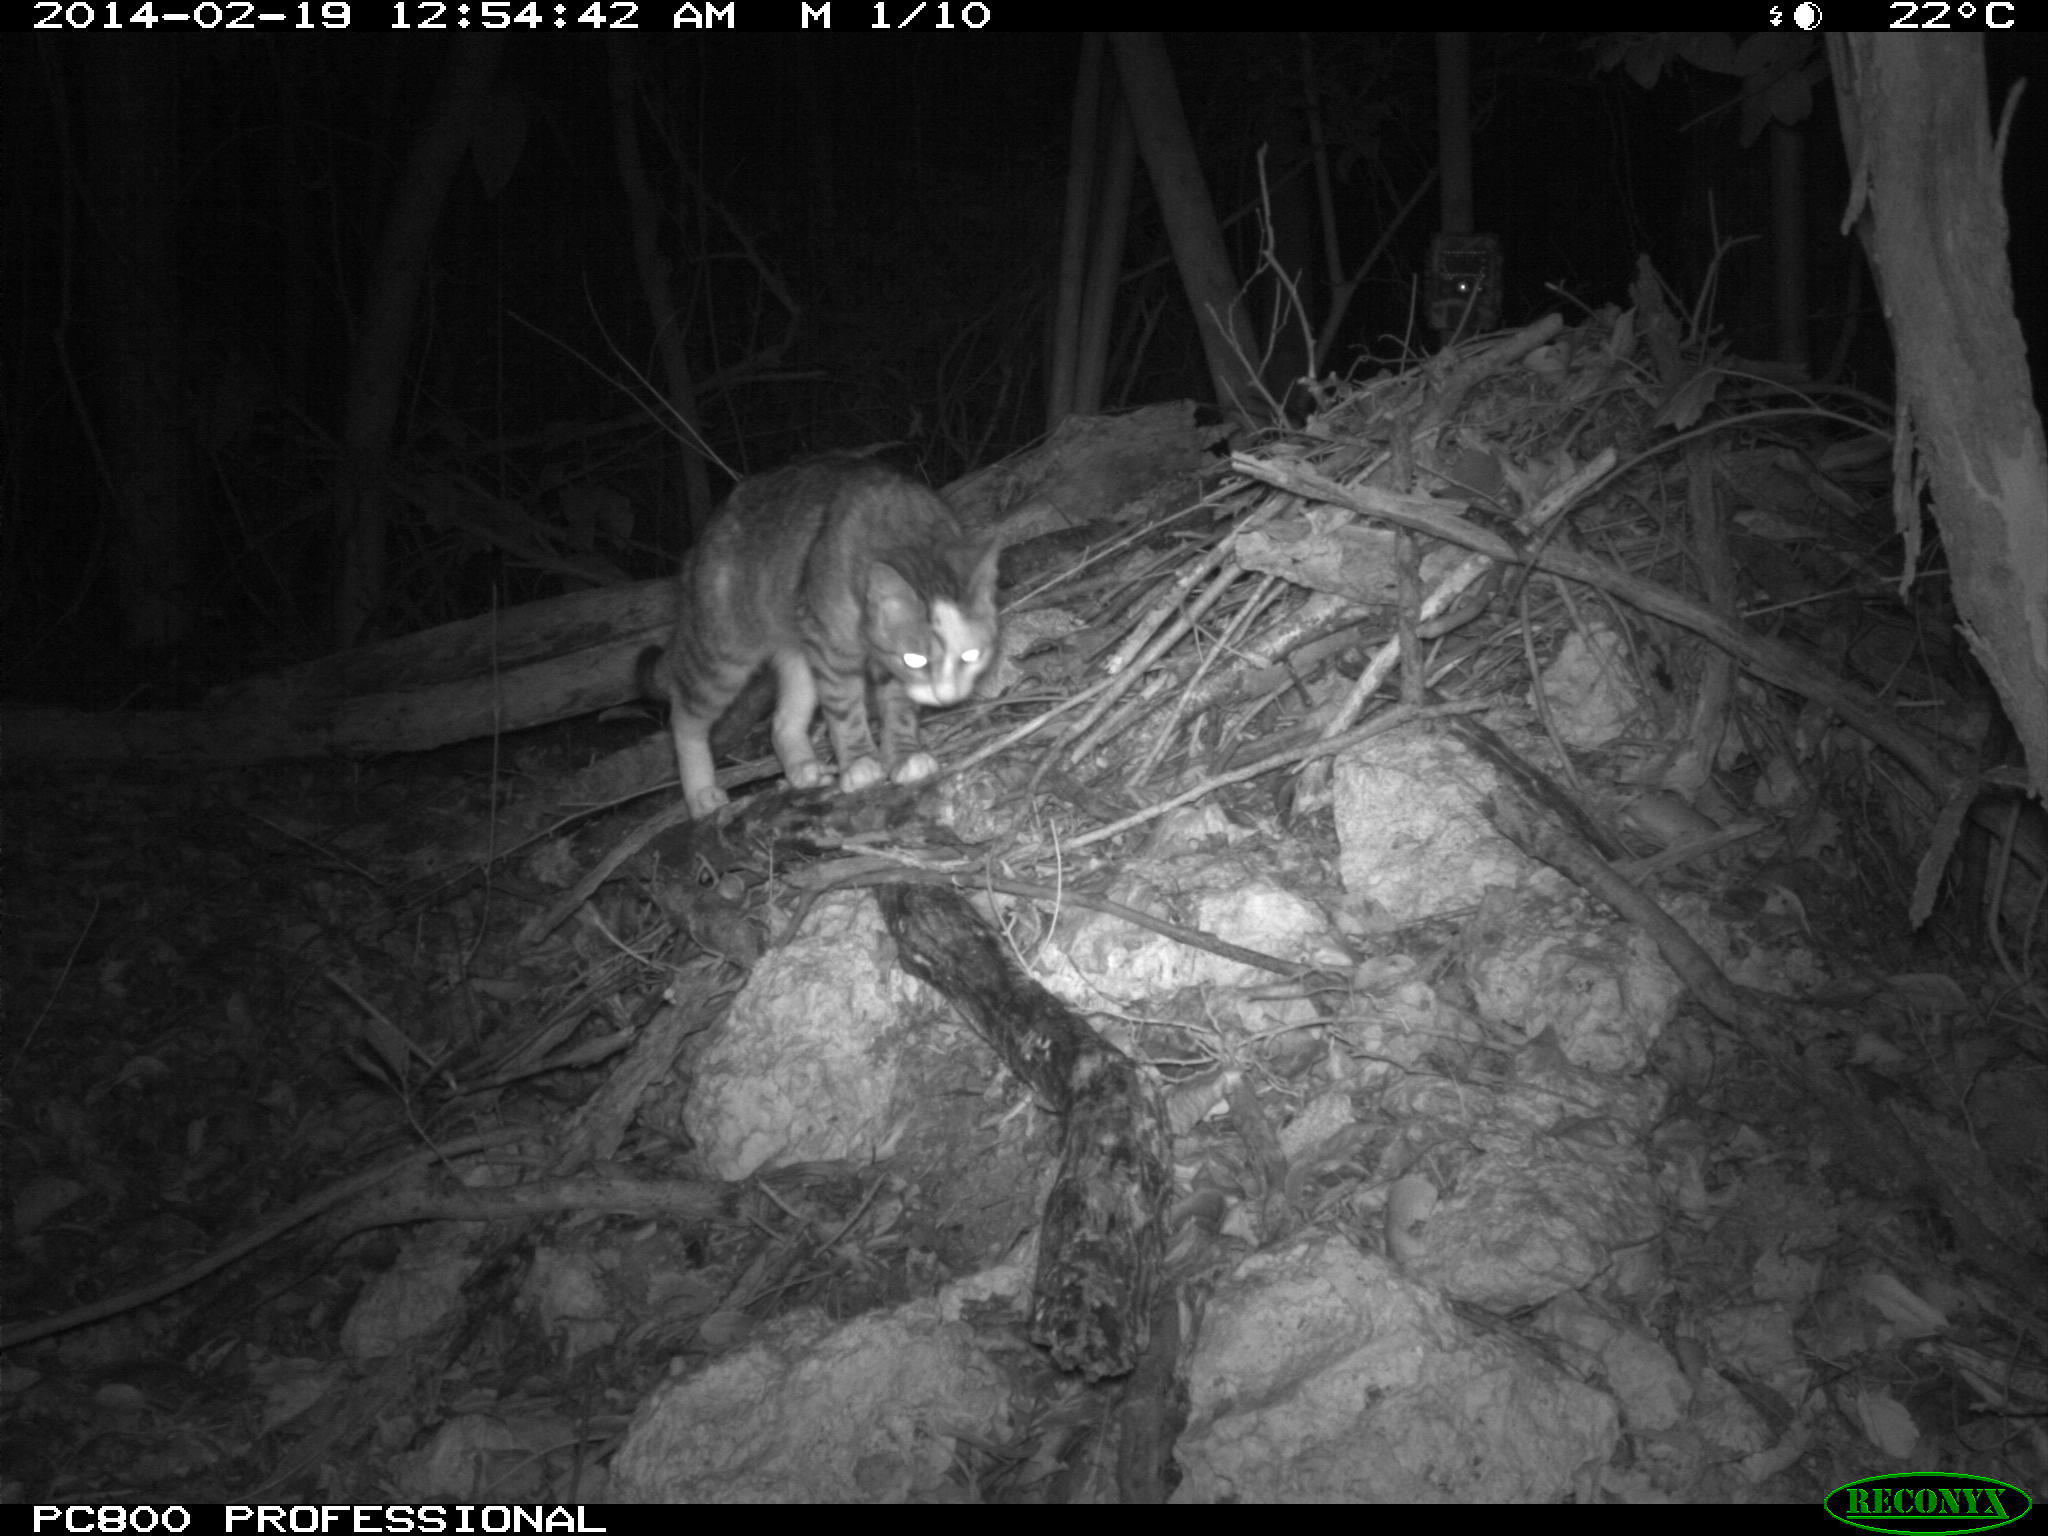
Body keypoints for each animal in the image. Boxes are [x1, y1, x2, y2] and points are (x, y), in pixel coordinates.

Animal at [634, 456, 995, 819]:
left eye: (971, 655)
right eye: (916, 659)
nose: (947, 697)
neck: (906, 528)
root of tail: (698, 547)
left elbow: (899, 709)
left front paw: (904, 756)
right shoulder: (835, 651)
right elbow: (846, 711)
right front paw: (860, 762)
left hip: (799, 653)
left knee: (781, 722)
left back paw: (803, 770)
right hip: (722, 656)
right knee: (684, 718)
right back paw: (701, 793)